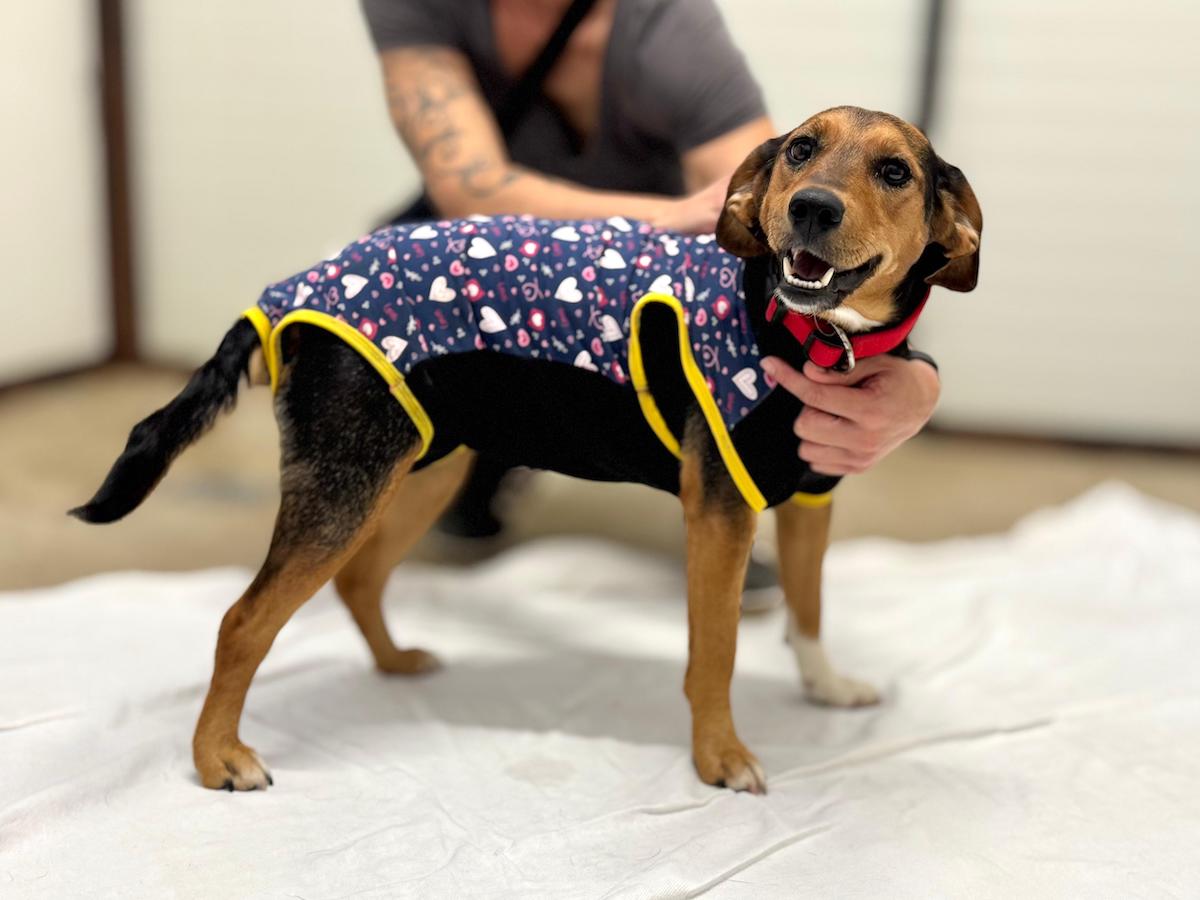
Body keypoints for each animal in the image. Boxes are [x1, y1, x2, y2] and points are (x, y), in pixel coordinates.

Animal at [72, 107, 981, 794]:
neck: (813, 335)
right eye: (799, 149)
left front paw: (825, 685)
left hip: (419, 470)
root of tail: (286, 294)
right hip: (348, 482)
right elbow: (716, 652)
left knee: (360, 580)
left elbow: (810, 604)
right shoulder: (720, 515)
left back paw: (395, 663)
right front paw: (720, 757)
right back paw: (216, 758)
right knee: (243, 620)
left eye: (895, 172)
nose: (812, 209)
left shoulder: (811, 493)